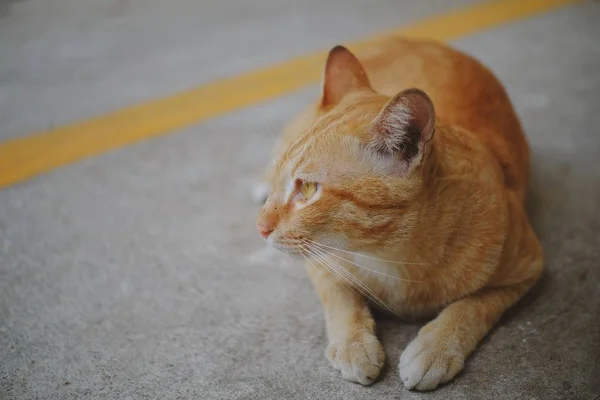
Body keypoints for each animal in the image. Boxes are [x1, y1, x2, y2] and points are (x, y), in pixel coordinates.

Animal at [254, 39, 544, 392]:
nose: (260, 227)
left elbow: (474, 305)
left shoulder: (527, 267)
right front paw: (353, 344)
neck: (388, 255)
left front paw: (437, 347)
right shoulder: (320, 262)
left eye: (308, 189)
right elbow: (340, 296)